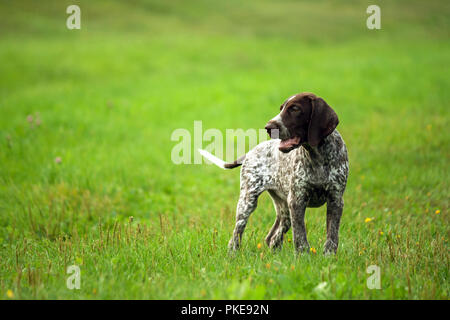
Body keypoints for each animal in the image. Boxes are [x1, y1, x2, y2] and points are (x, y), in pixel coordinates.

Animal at [199, 91, 350, 254]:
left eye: (295, 109)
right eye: (281, 108)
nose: (268, 127)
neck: (317, 156)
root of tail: (250, 152)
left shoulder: (335, 199)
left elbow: (332, 235)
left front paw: (329, 256)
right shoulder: (297, 200)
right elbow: (300, 236)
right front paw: (304, 256)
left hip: (284, 209)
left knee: (272, 237)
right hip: (248, 201)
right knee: (236, 235)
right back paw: (233, 254)